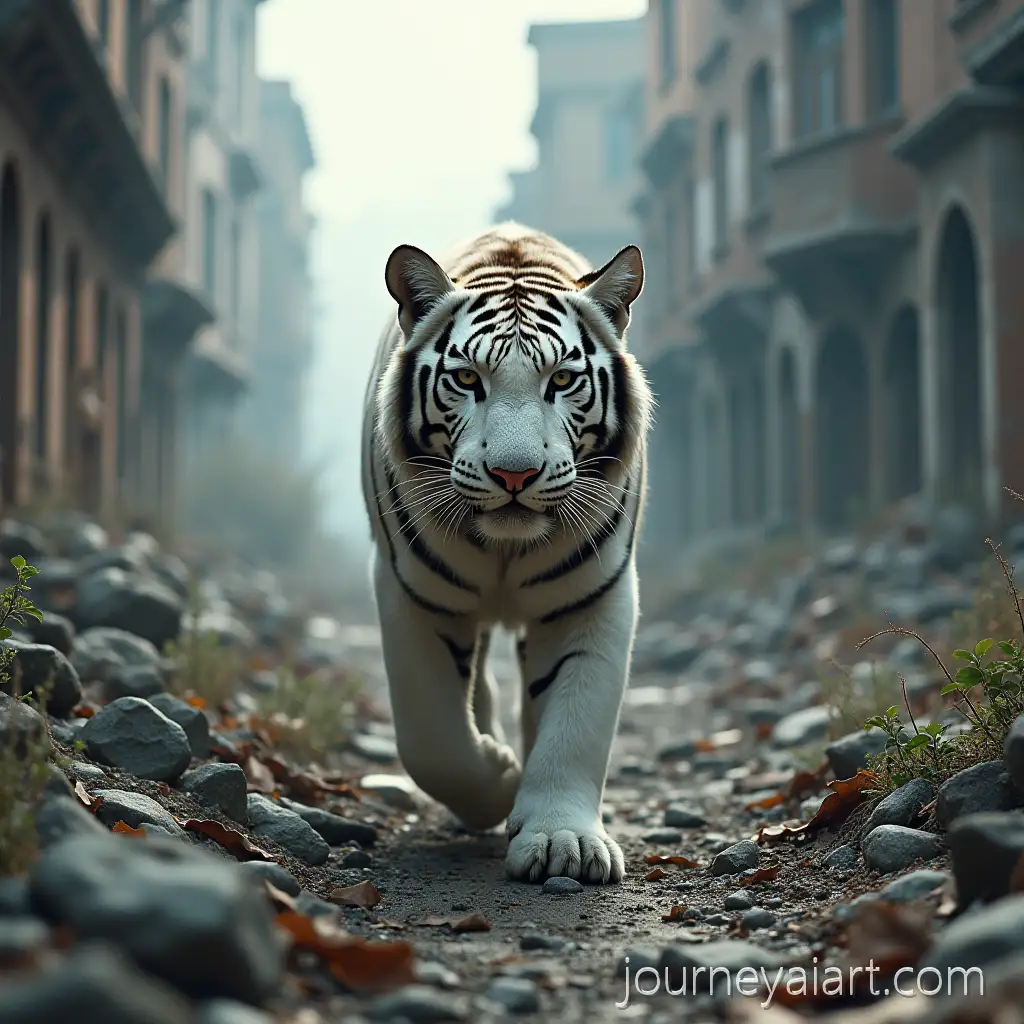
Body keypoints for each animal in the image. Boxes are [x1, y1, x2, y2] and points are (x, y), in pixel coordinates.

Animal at [360, 222, 652, 884]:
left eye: (562, 381)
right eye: (468, 380)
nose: (514, 475)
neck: (504, 550)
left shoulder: (592, 597)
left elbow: (576, 724)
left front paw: (563, 840)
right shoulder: (411, 591)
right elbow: (432, 736)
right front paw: (497, 779)